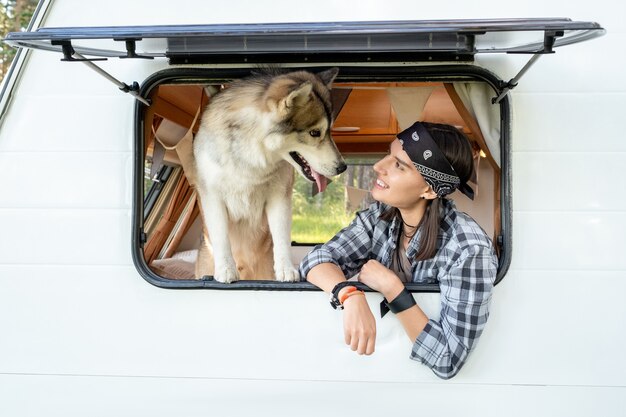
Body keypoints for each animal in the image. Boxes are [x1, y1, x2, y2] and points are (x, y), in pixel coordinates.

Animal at [191, 68, 344, 282]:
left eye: (329, 131)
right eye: (315, 133)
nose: (342, 167)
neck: (252, 156)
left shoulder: (279, 196)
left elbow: (281, 236)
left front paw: (286, 269)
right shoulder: (212, 196)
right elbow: (221, 236)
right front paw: (226, 269)